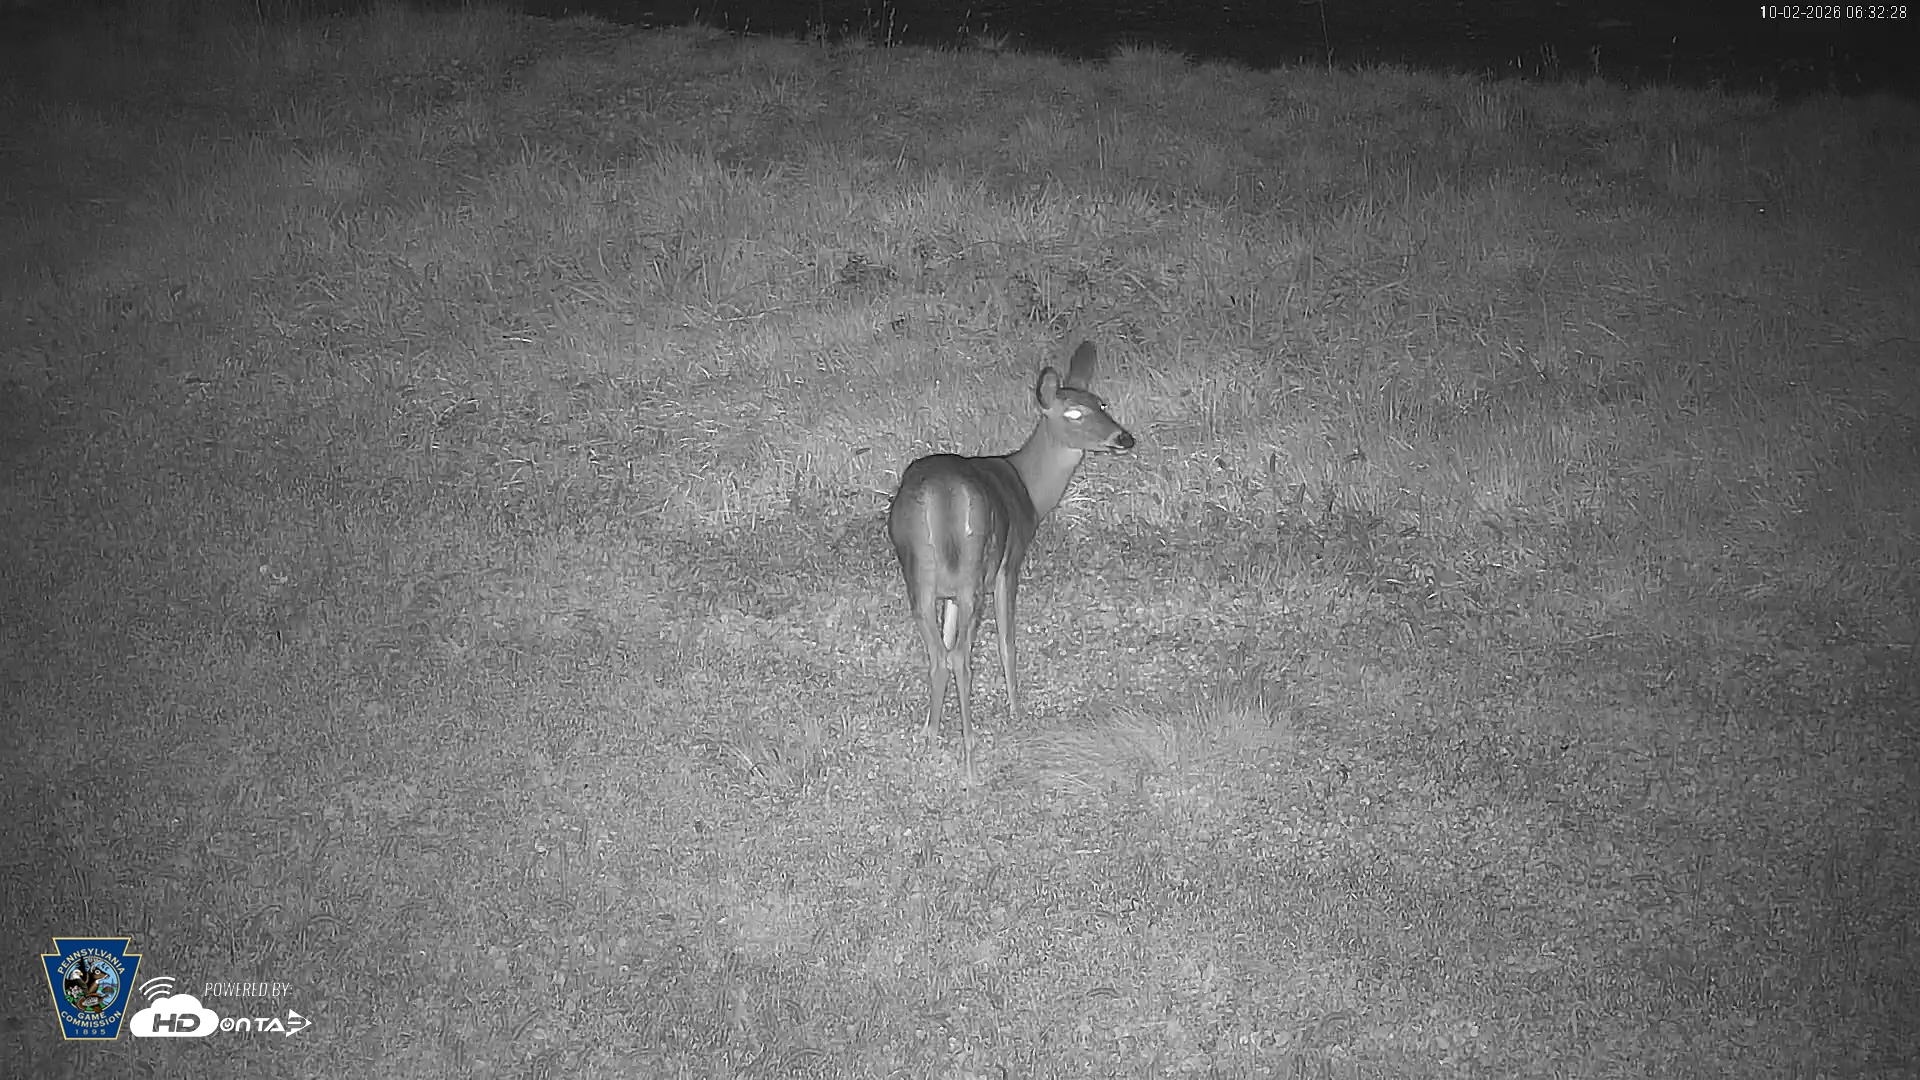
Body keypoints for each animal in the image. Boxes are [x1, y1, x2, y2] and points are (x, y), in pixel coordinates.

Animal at [886, 340, 1136, 784]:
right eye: (1074, 413)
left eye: (1102, 403)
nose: (1124, 438)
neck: (1030, 490)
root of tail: (940, 494)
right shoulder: (1010, 562)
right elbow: (1007, 642)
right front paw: (1017, 710)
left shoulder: (950, 594)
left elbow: (947, 641)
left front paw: (933, 730)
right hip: (974, 570)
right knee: (960, 656)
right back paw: (970, 757)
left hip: (920, 575)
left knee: (939, 655)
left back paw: (930, 741)